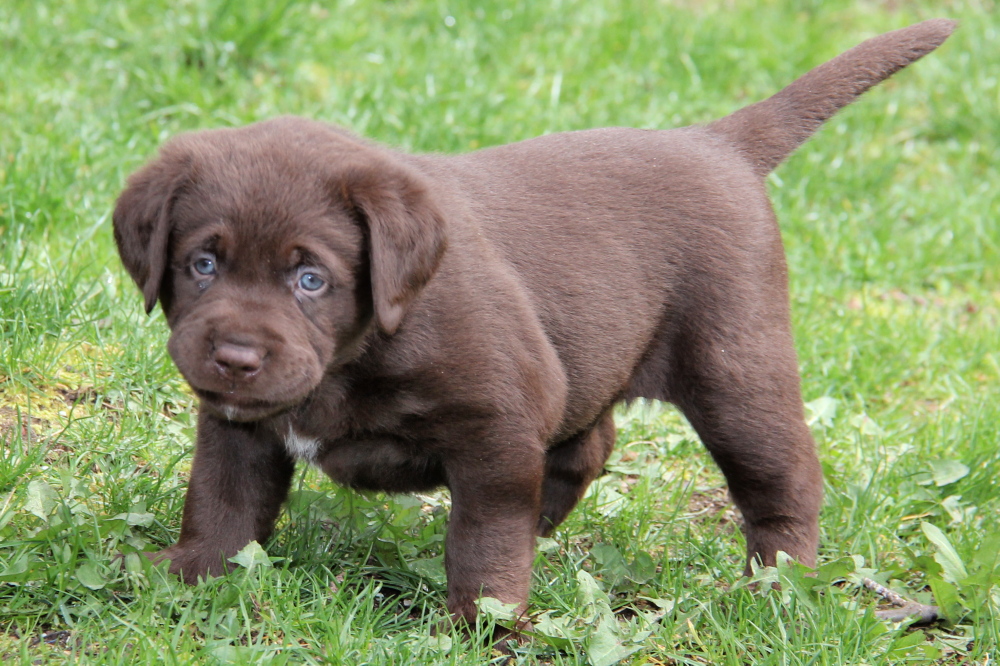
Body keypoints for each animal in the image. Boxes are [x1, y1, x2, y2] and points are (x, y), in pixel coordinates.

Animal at [113, 19, 956, 624]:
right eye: (203, 264)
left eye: (311, 278)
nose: (235, 355)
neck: (354, 355)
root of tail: (715, 142)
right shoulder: (240, 424)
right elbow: (223, 500)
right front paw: (190, 573)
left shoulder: (497, 421)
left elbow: (485, 533)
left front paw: (482, 620)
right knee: (589, 442)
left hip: (735, 366)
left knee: (781, 478)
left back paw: (778, 587)